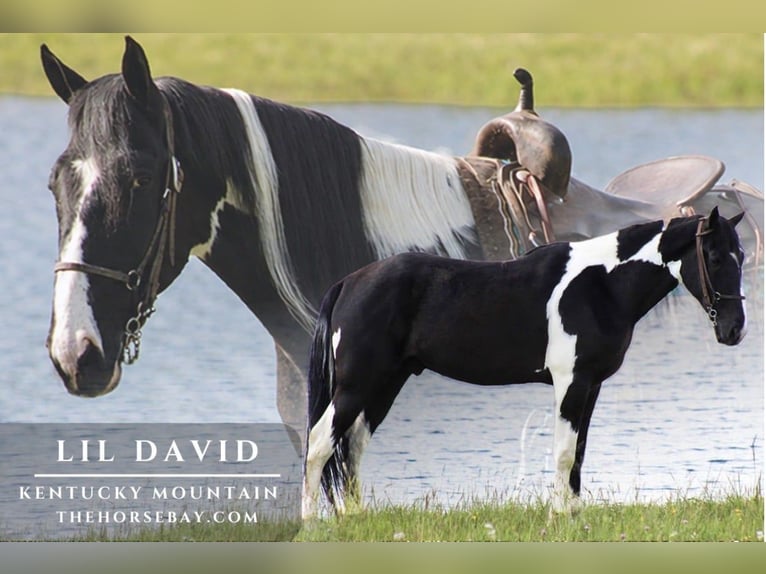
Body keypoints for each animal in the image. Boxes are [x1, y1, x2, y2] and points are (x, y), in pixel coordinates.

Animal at [301, 208, 747, 518]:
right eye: (713, 256)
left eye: (741, 254)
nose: (735, 329)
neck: (600, 284)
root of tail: (350, 283)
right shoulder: (571, 383)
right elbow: (564, 452)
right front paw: (559, 516)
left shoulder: (592, 385)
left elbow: (579, 452)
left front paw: (574, 514)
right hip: (357, 387)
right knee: (320, 444)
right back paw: (312, 524)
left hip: (385, 385)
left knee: (352, 448)